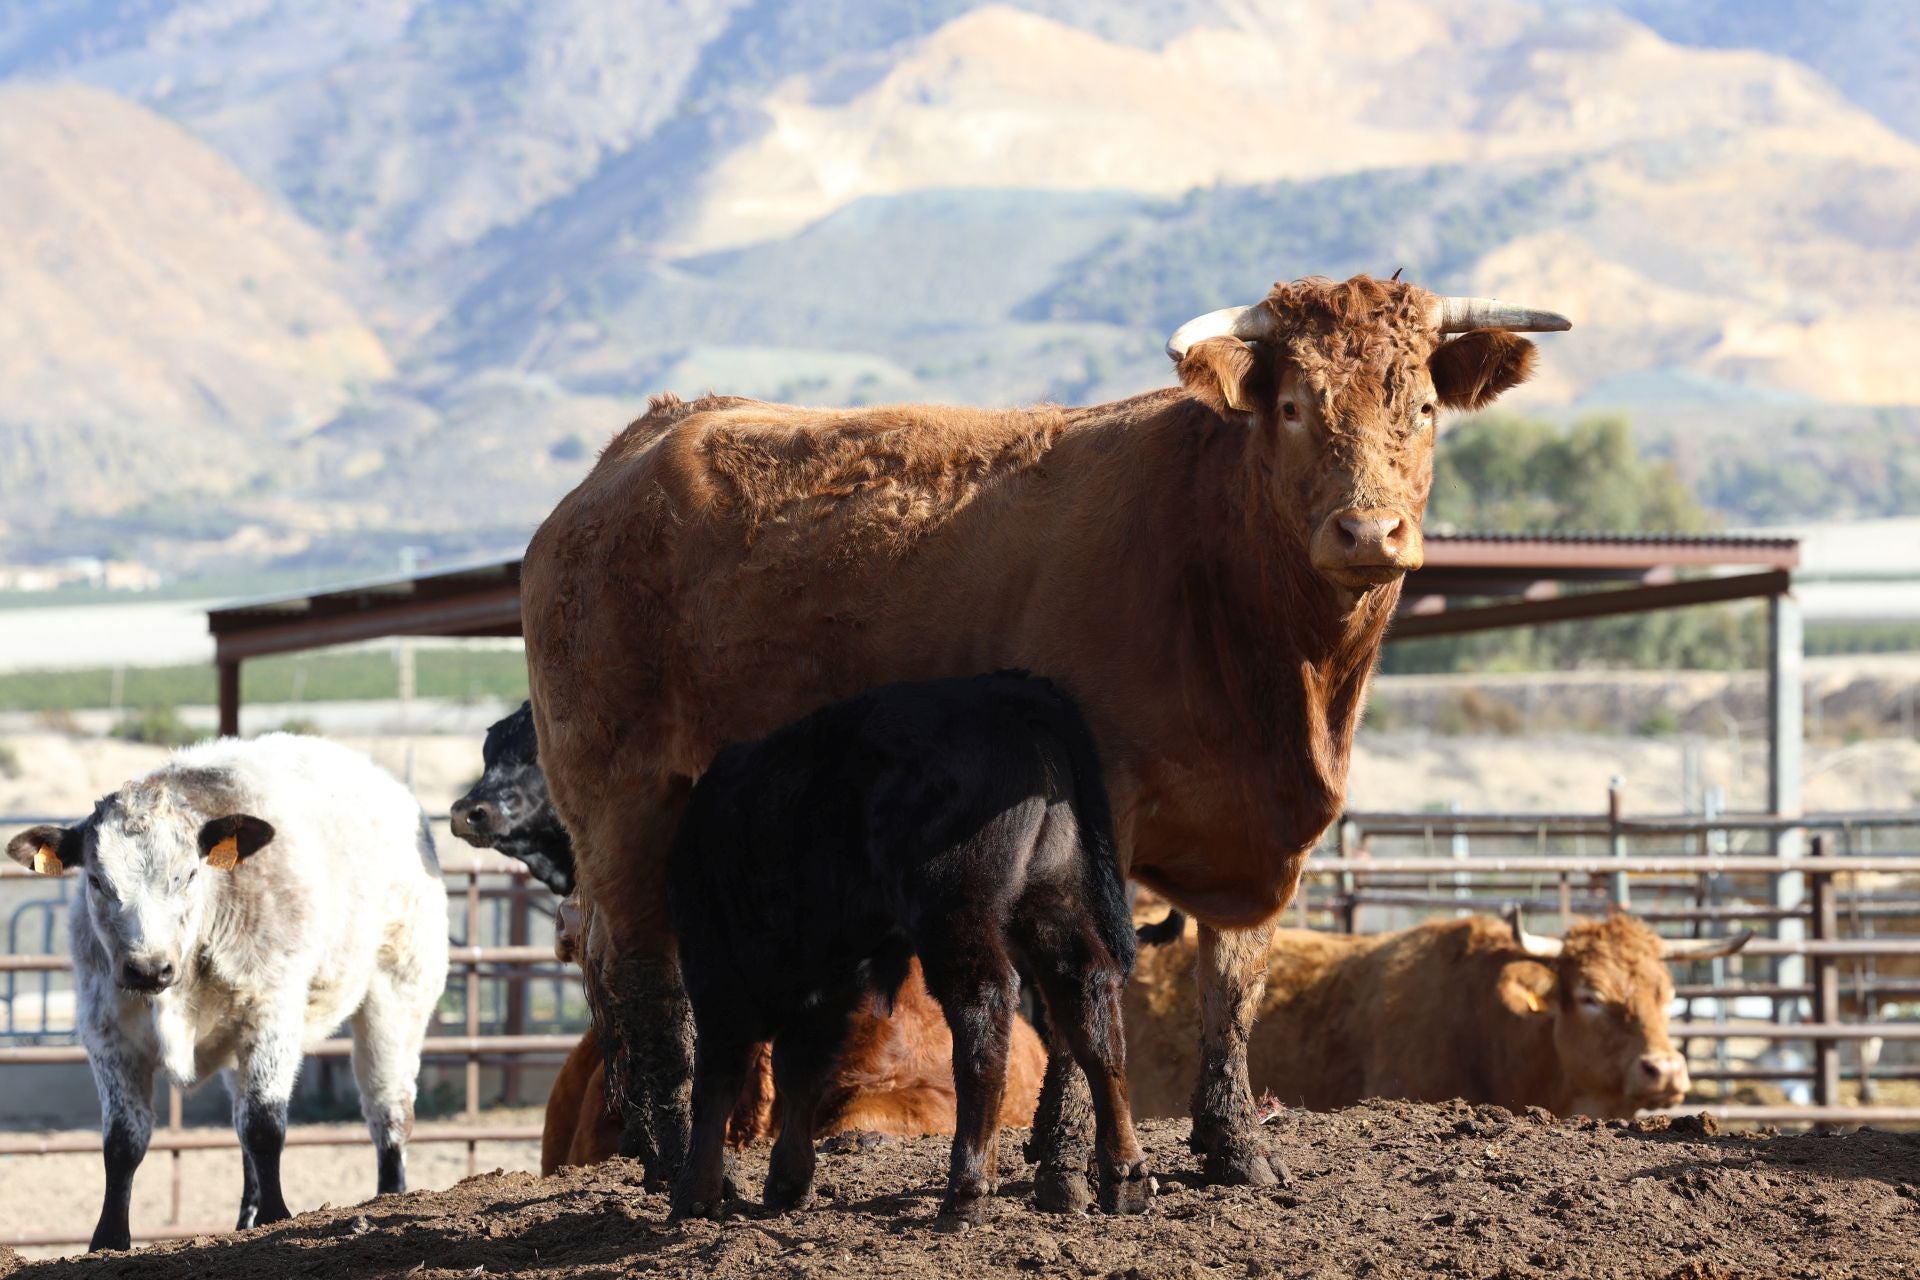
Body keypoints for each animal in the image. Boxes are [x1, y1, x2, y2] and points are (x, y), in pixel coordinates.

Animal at [8, 729, 449, 1251]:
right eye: (97, 880)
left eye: (188, 874)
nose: (148, 968)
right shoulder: (107, 1032)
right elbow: (123, 1142)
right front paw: (108, 1240)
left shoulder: (273, 1016)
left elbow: (263, 1125)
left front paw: (278, 1217)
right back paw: (246, 1219)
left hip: (399, 992)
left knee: (388, 1110)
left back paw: (388, 1196)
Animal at [668, 675, 1144, 1228]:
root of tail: (1001, 690)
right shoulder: (832, 985)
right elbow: (799, 1070)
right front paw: (788, 1182)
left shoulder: (715, 968)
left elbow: (718, 1078)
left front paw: (695, 1194)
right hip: (1052, 894)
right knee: (1089, 996)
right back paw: (1126, 1177)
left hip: (953, 908)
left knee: (984, 1008)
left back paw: (966, 1190)